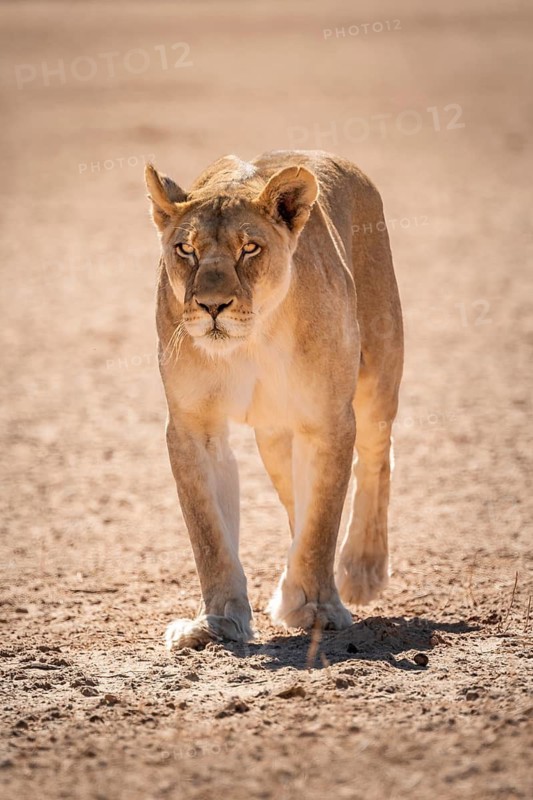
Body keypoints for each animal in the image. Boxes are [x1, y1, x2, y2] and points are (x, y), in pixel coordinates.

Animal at [144, 150, 403, 650]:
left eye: (250, 248)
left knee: (376, 460)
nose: (212, 306)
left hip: (379, 375)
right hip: (276, 435)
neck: (251, 342)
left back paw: (361, 570)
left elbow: (321, 522)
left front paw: (317, 607)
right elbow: (209, 533)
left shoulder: (327, 421)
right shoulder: (193, 427)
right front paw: (216, 622)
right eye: (186, 250)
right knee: (293, 501)